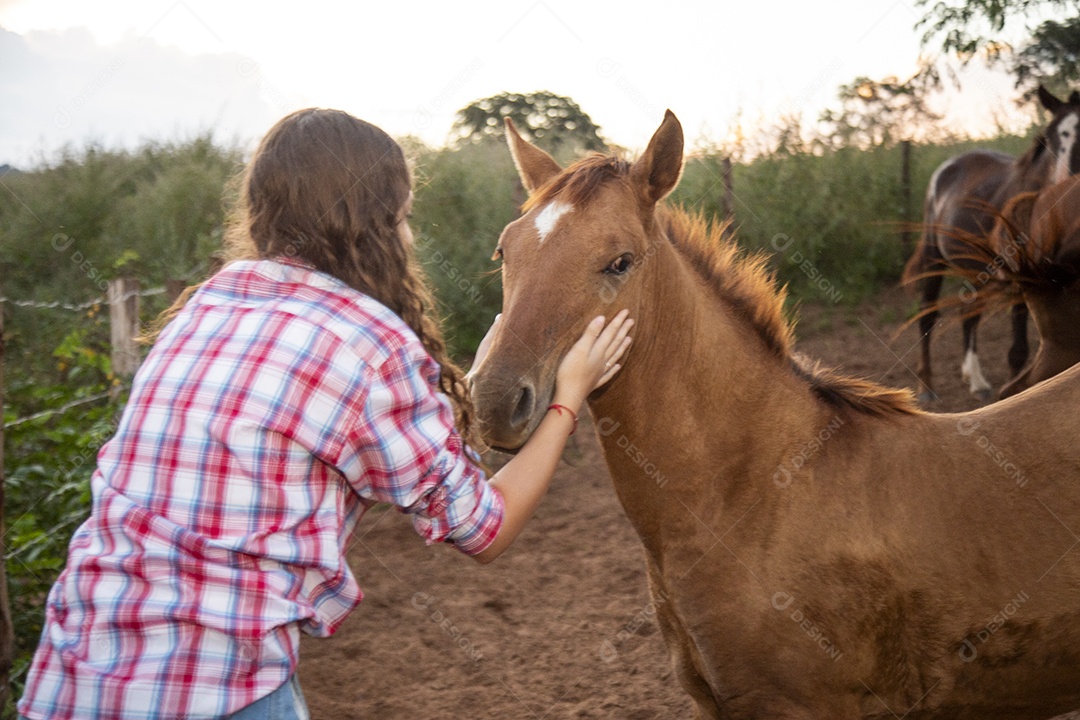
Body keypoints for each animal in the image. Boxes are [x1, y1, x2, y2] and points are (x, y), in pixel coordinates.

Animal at [902, 86, 1080, 403]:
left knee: (968, 313)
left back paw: (976, 381)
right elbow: (1020, 351)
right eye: (1050, 137)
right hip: (935, 259)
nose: (1066, 186)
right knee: (928, 316)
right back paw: (926, 388)